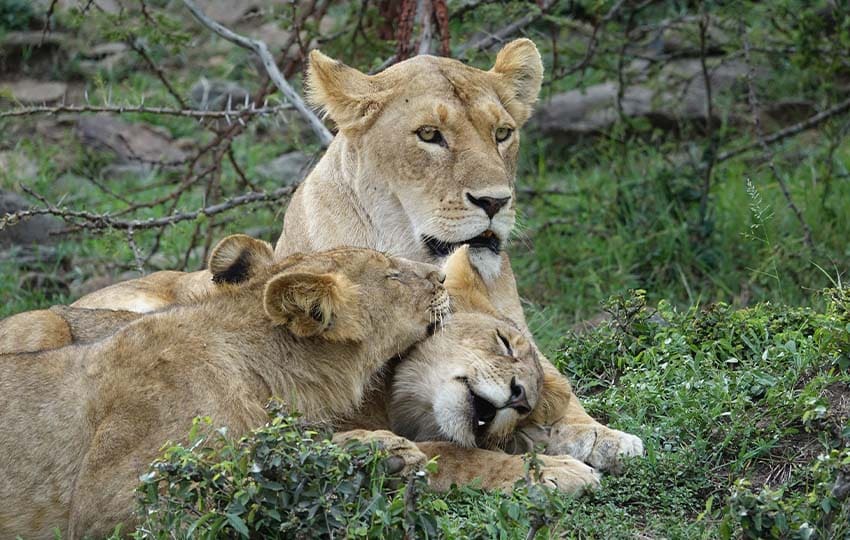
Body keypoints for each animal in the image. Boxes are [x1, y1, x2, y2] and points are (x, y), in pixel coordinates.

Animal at [43, 39, 642, 471]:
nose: (495, 202)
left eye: (503, 134)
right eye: (429, 135)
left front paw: (601, 436)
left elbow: (561, 385)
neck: (413, 249)